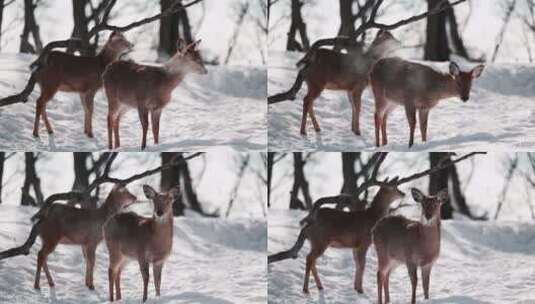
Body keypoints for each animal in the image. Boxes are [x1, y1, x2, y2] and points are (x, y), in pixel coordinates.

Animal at [268, 30, 402, 137]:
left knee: (309, 102)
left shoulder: (350, 89)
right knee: (307, 101)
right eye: (390, 37)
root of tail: (309, 62)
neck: (369, 64)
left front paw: (353, 129)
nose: (399, 42)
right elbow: (358, 107)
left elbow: (353, 107)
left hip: (312, 83)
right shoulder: (358, 86)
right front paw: (358, 132)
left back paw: (317, 128)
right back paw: (303, 131)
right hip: (317, 83)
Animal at [268, 178, 406, 294]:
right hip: (321, 240)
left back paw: (320, 286)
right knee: (309, 258)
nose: (403, 194)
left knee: (312, 260)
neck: (373, 218)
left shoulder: (355, 245)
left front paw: (356, 288)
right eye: (395, 187)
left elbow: (357, 263)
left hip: (316, 242)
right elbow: (362, 264)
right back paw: (306, 289)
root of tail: (310, 223)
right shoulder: (364, 241)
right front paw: (361, 290)